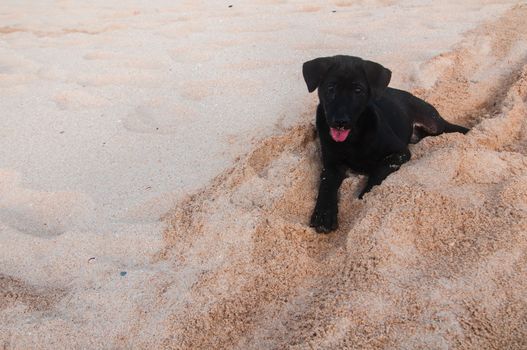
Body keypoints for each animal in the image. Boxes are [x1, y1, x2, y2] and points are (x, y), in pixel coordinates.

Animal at [306, 54, 470, 232]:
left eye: (358, 90)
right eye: (331, 88)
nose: (340, 122)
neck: (353, 137)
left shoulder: (400, 152)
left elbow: (379, 169)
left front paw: (366, 194)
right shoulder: (331, 164)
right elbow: (326, 184)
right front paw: (323, 214)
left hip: (433, 124)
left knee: (446, 127)